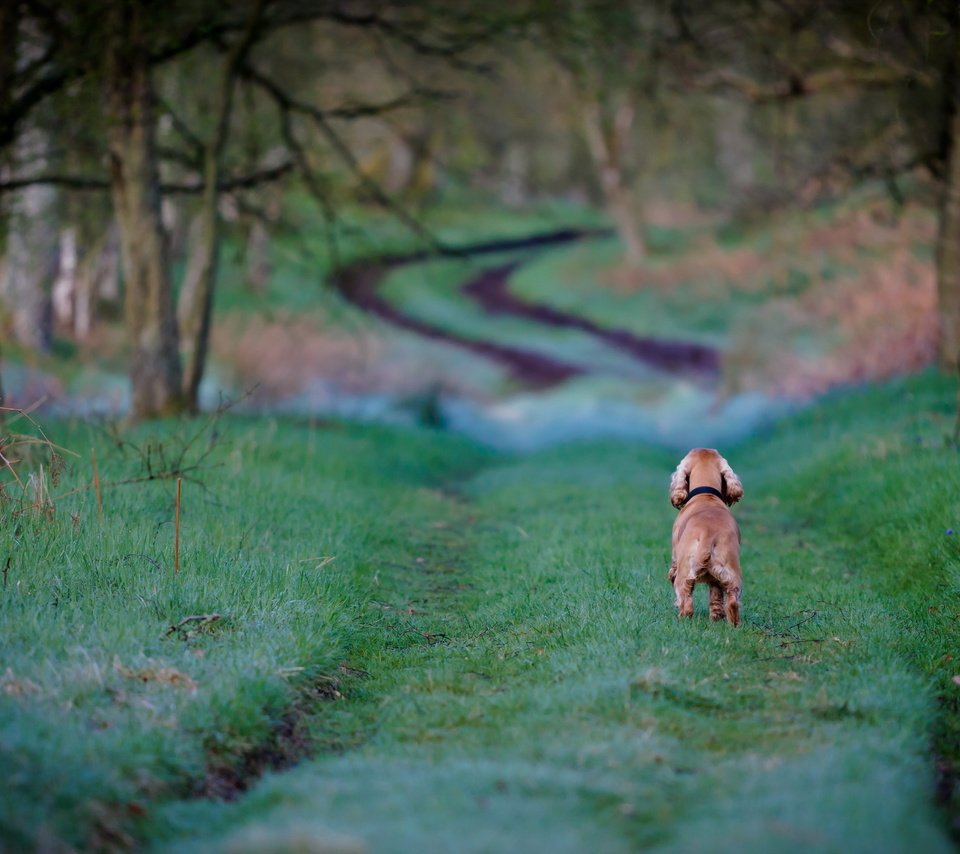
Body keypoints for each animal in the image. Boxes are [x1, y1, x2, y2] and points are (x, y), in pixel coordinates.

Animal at [668, 452, 744, 624]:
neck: (706, 495)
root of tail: (709, 534)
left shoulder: (675, 554)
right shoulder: (716, 579)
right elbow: (716, 595)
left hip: (684, 571)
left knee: (686, 599)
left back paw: (681, 618)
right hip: (731, 572)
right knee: (732, 601)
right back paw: (731, 623)